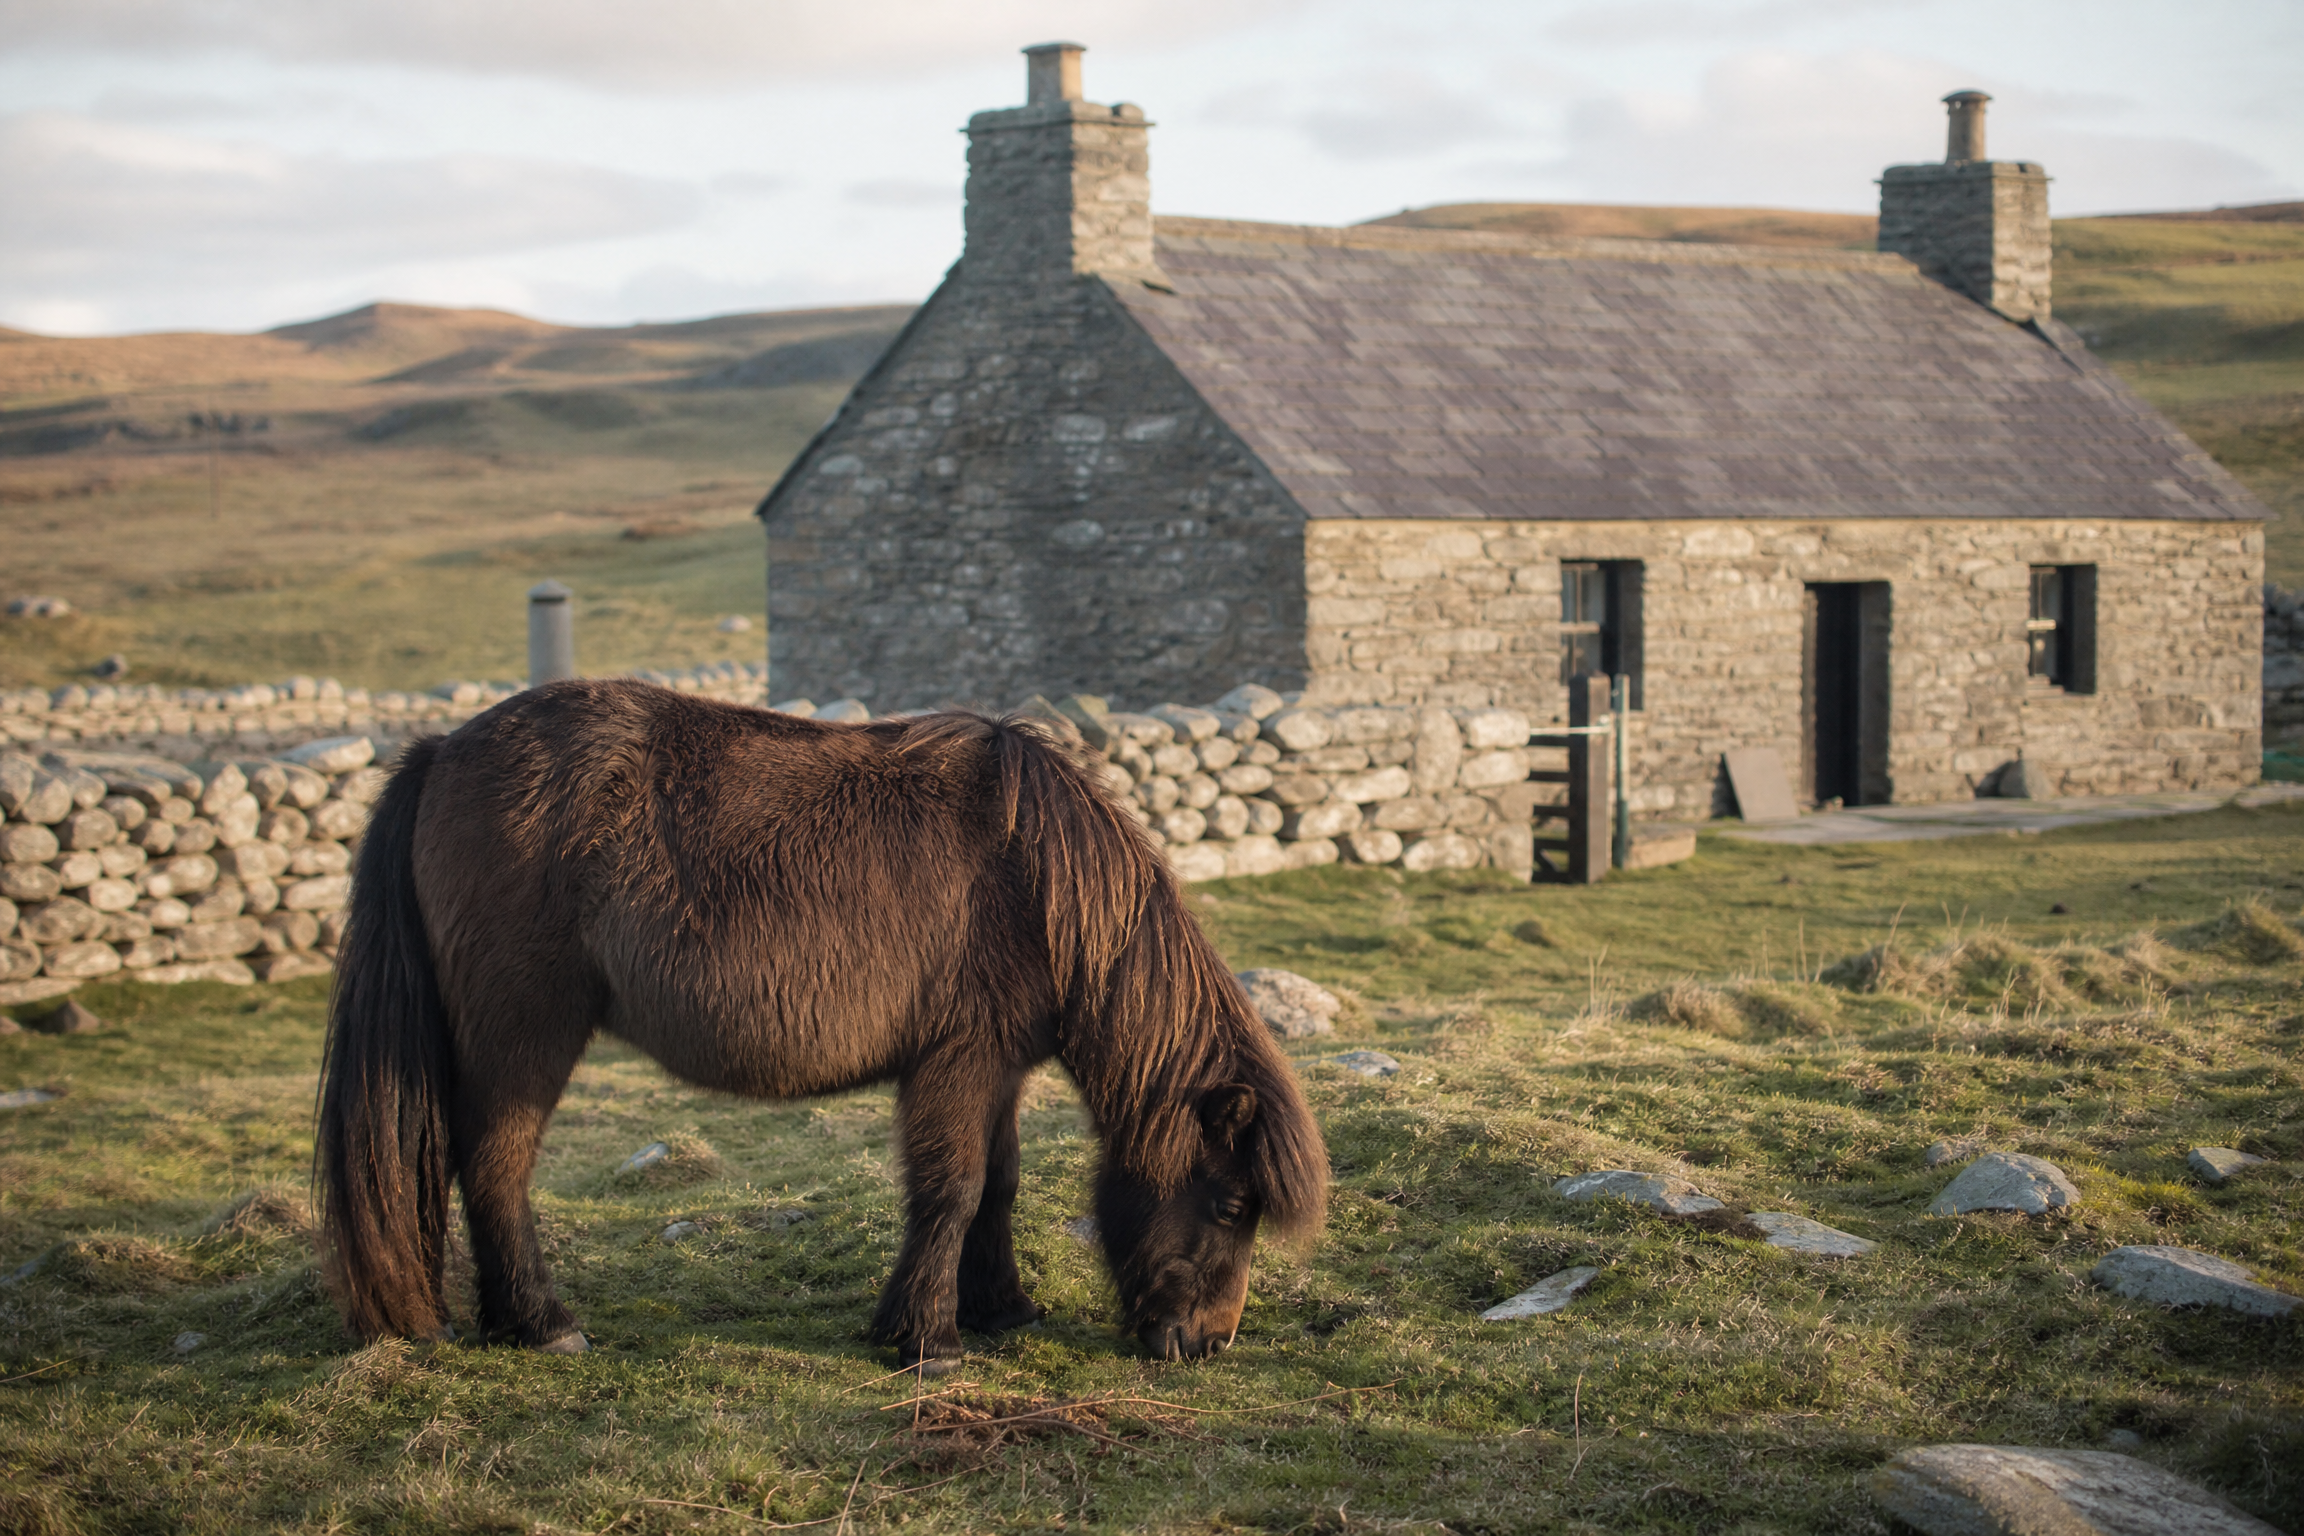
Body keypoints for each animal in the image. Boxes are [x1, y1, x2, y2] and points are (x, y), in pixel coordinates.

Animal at [315, 679, 1327, 1369]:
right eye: (1231, 1204)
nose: (1205, 1342)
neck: (1038, 878)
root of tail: (442, 751)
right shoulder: (957, 1063)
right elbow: (954, 1190)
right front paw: (926, 1340)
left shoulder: (998, 1067)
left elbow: (998, 1186)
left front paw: (1001, 1308)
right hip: (523, 1036)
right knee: (494, 1165)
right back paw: (542, 1324)